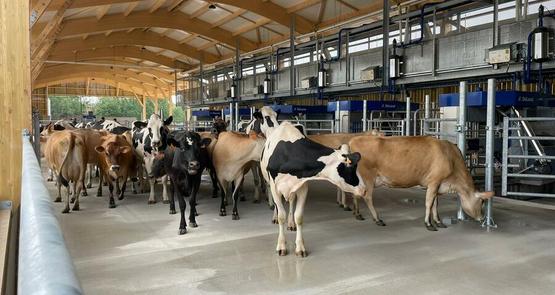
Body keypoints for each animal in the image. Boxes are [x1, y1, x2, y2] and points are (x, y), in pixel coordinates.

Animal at [258, 108, 368, 256]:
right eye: (350, 168)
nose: (364, 189)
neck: (288, 154)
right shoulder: (275, 187)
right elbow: (281, 215)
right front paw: (281, 245)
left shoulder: (302, 186)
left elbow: (299, 217)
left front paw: (300, 246)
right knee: (278, 205)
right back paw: (276, 217)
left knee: (291, 202)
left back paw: (291, 223)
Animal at [350, 136, 494, 231]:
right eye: (482, 201)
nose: (482, 218)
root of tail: (354, 139)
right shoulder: (434, 181)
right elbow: (429, 203)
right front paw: (429, 224)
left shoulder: (437, 184)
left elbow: (435, 204)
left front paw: (438, 222)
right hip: (368, 177)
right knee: (367, 196)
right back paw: (377, 219)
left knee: (355, 193)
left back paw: (358, 214)